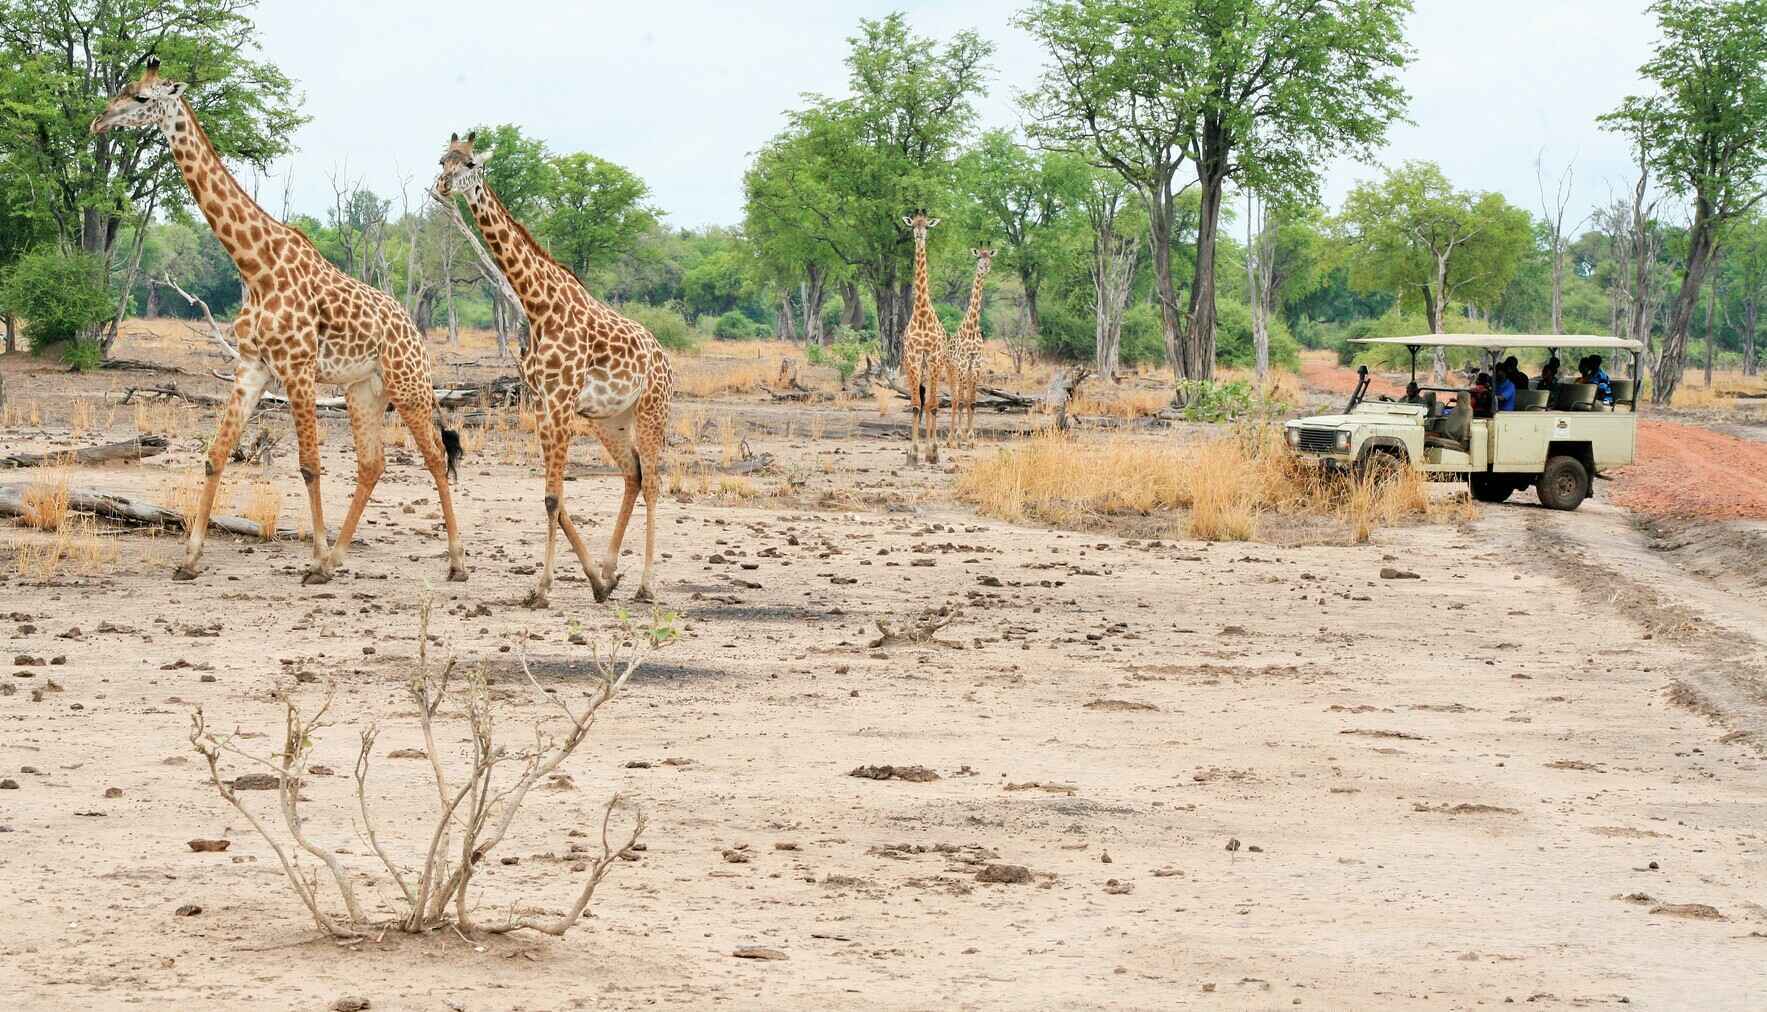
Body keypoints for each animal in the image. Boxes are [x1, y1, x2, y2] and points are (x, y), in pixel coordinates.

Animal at [91, 57, 462, 582]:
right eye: (123, 88)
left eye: (142, 98)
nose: (98, 122)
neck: (254, 265)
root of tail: (415, 333)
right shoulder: (252, 367)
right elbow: (215, 455)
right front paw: (189, 559)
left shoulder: (298, 368)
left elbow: (308, 464)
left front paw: (315, 557)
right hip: (364, 389)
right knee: (373, 463)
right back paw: (341, 557)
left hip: (408, 384)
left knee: (433, 454)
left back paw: (455, 562)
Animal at [431, 134, 671, 607]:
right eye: (441, 159)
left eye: (470, 163)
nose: (443, 185)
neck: (538, 305)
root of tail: (665, 358)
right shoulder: (543, 403)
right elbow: (554, 498)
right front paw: (595, 581)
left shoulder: (560, 402)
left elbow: (551, 498)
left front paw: (541, 589)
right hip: (610, 419)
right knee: (633, 474)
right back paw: (612, 572)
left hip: (652, 409)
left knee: (653, 480)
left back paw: (646, 585)